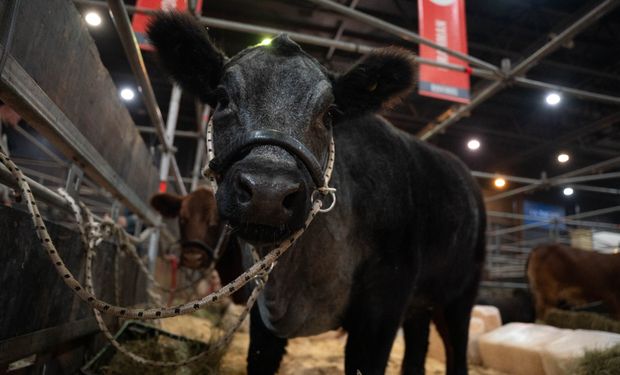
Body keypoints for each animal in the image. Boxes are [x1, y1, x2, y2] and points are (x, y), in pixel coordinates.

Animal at [149, 12, 484, 375]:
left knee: (456, 348)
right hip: (420, 304)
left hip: (461, 294)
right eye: (222, 99)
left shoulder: (383, 308)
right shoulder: (261, 315)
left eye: (329, 113)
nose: (268, 191)